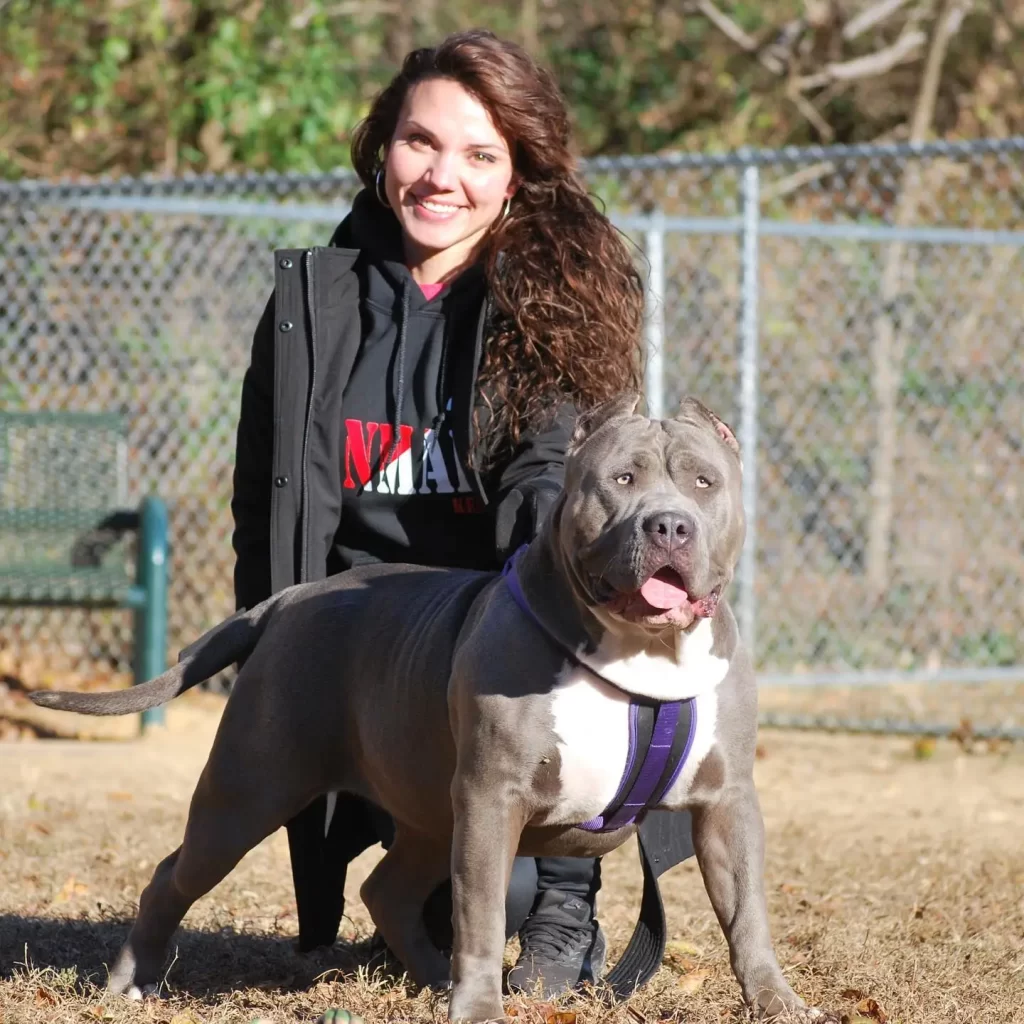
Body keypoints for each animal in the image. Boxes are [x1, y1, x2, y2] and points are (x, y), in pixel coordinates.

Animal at [36, 395, 827, 1019]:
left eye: (704, 482)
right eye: (622, 480)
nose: (668, 525)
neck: (642, 654)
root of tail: (288, 599)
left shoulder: (727, 803)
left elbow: (748, 913)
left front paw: (775, 1000)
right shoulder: (492, 797)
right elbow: (479, 913)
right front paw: (479, 1007)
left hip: (422, 810)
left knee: (386, 887)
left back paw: (430, 978)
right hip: (250, 790)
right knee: (174, 874)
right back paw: (130, 981)